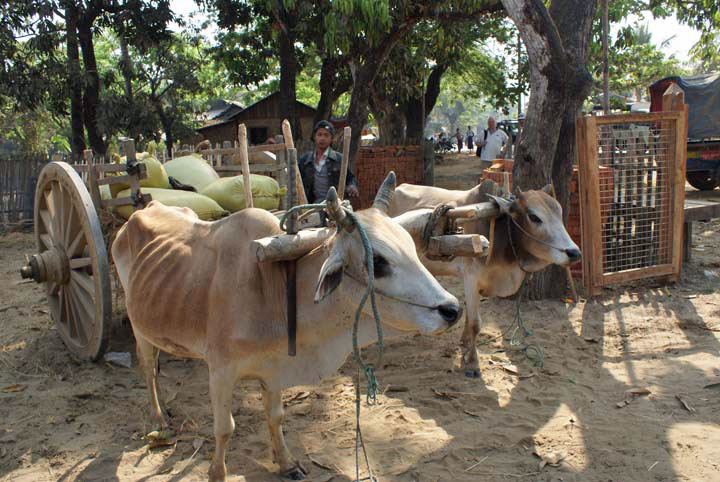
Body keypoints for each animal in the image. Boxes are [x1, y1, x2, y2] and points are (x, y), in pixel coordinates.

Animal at [111, 173, 461, 481]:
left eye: (412, 249)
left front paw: (287, 463)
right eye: (379, 261)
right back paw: (158, 418)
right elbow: (224, 429)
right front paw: (216, 474)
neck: (275, 288)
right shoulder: (221, 371)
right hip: (139, 326)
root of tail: (143, 209)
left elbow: (276, 416)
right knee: (148, 368)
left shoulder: (274, 367)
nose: (452, 310)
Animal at [391, 180, 580, 378]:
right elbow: (475, 324)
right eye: (534, 217)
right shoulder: (471, 278)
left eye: (560, 213)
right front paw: (473, 365)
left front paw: (465, 345)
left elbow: (469, 320)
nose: (574, 252)